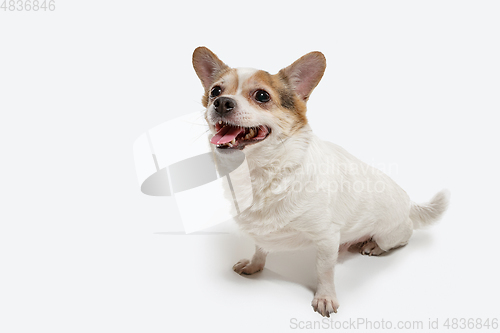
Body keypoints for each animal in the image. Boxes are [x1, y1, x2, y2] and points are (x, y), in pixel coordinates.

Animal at [190, 45, 450, 316]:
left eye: (262, 96)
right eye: (215, 91)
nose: (221, 102)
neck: (261, 173)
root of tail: (409, 203)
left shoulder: (326, 238)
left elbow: (324, 271)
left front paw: (325, 296)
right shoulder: (264, 231)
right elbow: (260, 247)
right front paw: (255, 264)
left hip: (390, 234)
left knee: (403, 236)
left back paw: (374, 245)